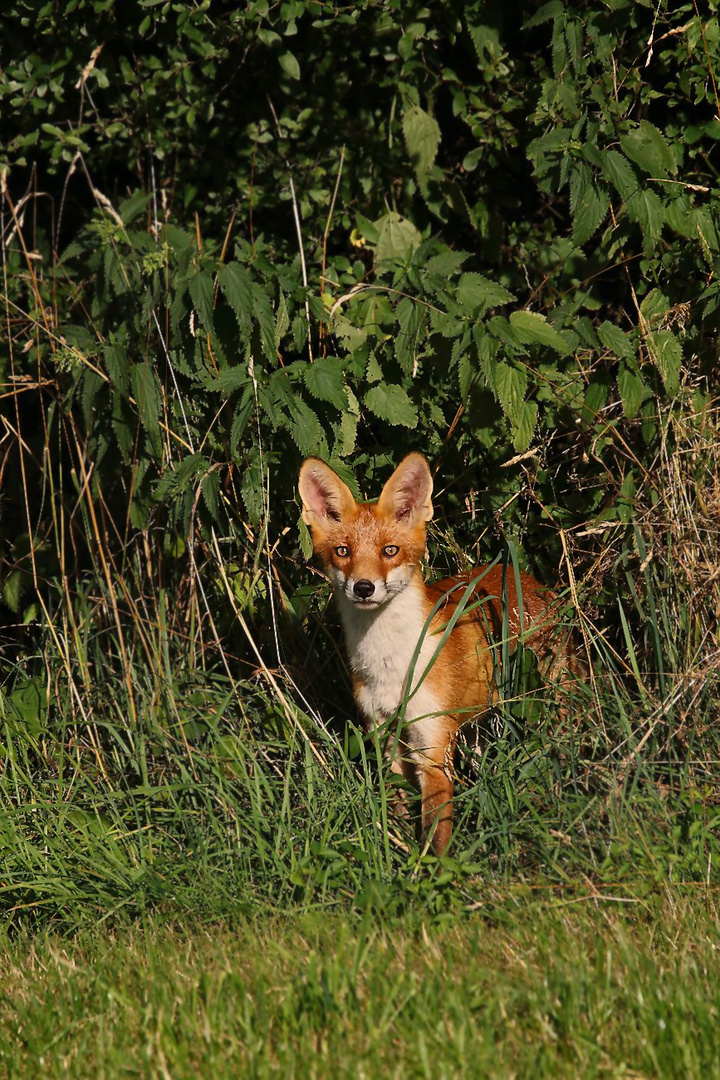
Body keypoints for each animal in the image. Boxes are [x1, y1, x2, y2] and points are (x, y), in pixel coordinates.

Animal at [295, 451, 582, 855]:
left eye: (390, 551)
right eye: (342, 552)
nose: (364, 588)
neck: (391, 666)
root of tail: (531, 581)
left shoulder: (432, 748)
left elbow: (435, 836)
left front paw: (430, 869)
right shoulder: (386, 738)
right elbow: (398, 811)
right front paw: (397, 852)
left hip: (550, 704)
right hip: (477, 725)